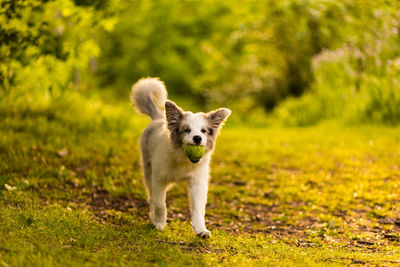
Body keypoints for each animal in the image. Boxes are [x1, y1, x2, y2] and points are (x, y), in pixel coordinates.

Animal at [131, 77, 231, 239]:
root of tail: (159, 118)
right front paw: (159, 224)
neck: (183, 159)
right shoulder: (159, 179)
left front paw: (201, 230)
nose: (197, 138)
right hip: (148, 171)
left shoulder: (198, 183)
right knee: (152, 197)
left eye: (203, 131)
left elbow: (198, 210)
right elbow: (160, 204)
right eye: (186, 130)